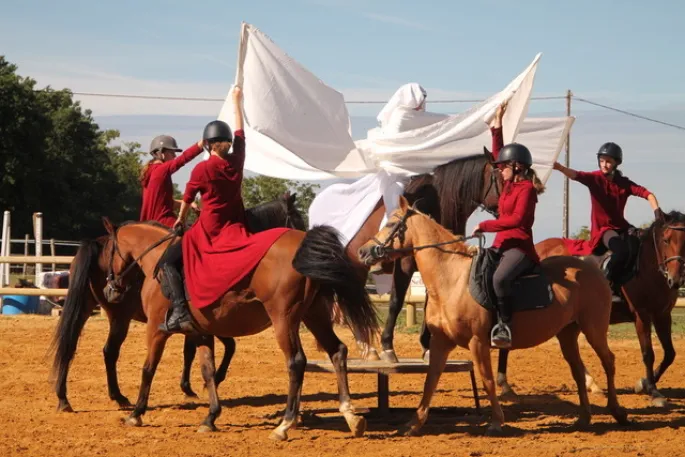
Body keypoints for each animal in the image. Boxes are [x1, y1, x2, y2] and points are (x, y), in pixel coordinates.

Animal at [48, 193, 304, 414]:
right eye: (298, 219)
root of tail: (96, 243)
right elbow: (220, 347)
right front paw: (201, 384)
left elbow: (200, 350)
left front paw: (194, 385)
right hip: (119, 315)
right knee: (108, 351)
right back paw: (116, 396)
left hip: (86, 308)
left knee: (70, 346)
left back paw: (64, 397)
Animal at [52, 221, 380, 442]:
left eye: (111, 251)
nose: (112, 288)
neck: (159, 260)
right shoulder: (201, 333)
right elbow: (208, 370)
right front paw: (210, 416)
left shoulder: (157, 330)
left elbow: (148, 369)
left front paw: (136, 414)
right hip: (314, 316)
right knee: (337, 352)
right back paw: (350, 415)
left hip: (284, 320)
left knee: (297, 362)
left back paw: (286, 425)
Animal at [342, 150, 502, 360]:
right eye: (502, 178)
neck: (437, 203)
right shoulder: (405, 264)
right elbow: (396, 301)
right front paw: (388, 347)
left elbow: (430, 303)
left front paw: (427, 346)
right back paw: (369, 350)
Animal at [358, 196, 632, 434]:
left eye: (391, 224)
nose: (363, 251)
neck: (452, 278)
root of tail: (591, 268)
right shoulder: (440, 342)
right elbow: (430, 381)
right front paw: (414, 424)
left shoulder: (477, 342)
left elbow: (487, 379)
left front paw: (496, 422)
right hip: (567, 333)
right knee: (577, 369)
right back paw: (584, 417)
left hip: (594, 328)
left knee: (609, 361)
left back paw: (617, 411)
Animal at [494, 210, 684, 406]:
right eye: (666, 240)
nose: (676, 279)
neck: (645, 267)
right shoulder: (642, 316)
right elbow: (648, 354)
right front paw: (653, 391)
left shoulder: (663, 315)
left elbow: (670, 353)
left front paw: (644, 383)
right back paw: (505, 385)